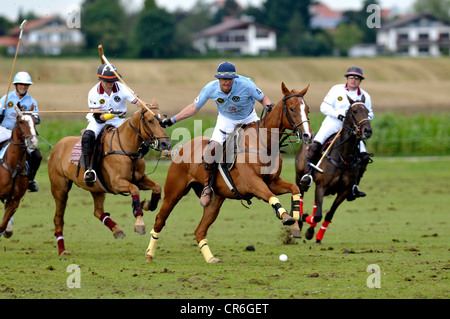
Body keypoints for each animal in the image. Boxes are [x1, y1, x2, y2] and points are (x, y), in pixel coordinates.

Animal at [0, 109, 38, 239]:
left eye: (35, 121)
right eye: (21, 122)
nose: (33, 141)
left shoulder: (15, 200)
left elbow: (2, 224)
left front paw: (7, 230)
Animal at [47, 102, 171, 255]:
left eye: (163, 121)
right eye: (150, 121)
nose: (166, 144)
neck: (127, 147)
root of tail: (56, 146)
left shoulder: (139, 178)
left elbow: (157, 187)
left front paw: (147, 204)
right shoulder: (117, 183)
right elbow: (134, 189)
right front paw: (139, 222)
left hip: (96, 188)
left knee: (98, 211)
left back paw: (117, 230)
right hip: (60, 188)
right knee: (58, 218)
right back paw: (62, 250)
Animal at [145, 83, 312, 264]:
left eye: (307, 109)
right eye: (292, 108)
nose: (308, 135)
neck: (263, 143)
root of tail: (179, 149)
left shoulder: (272, 181)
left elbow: (295, 188)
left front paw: (295, 225)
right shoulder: (252, 183)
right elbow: (271, 196)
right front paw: (285, 216)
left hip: (215, 201)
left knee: (199, 230)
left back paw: (211, 258)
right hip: (174, 192)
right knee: (160, 220)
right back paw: (149, 254)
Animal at [292, 96, 372, 244]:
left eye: (368, 111)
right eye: (354, 111)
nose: (368, 131)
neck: (343, 157)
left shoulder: (343, 191)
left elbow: (328, 214)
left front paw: (316, 236)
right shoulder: (322, 186)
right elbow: (318, 215)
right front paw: (305, 221)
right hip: (300, 177)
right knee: (300, 195)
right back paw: (299, 221)